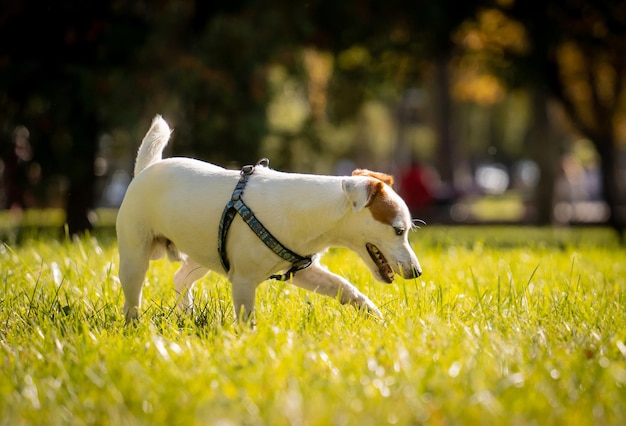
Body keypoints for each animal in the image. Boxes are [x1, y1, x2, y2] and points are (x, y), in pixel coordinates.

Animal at [115, 115, 422, 324]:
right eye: (398, 230)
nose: (418, 272)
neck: (313, 212)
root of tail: (148, 169)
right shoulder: (243, 281)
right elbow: (246, 319)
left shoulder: (304, 272)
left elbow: (346, 288)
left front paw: (375, 316)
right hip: (135, 256)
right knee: (132, 297)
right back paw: (135, 327)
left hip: (204, 254)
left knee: (180, 277)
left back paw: (187, 312)